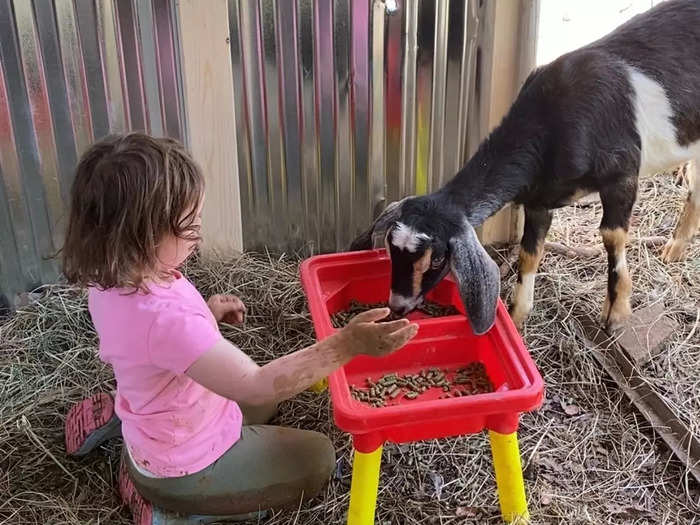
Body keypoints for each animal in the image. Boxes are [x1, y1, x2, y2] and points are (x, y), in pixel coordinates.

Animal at [350, 0, 700, 334]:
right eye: (392, 248)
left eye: (436, 258)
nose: (398, 305)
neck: (551, 123)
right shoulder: (538, 199)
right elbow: (529, 254)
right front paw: (518, 317)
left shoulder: (621, 174)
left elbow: (611, 236)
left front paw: (616, 312)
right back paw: (675, 248)